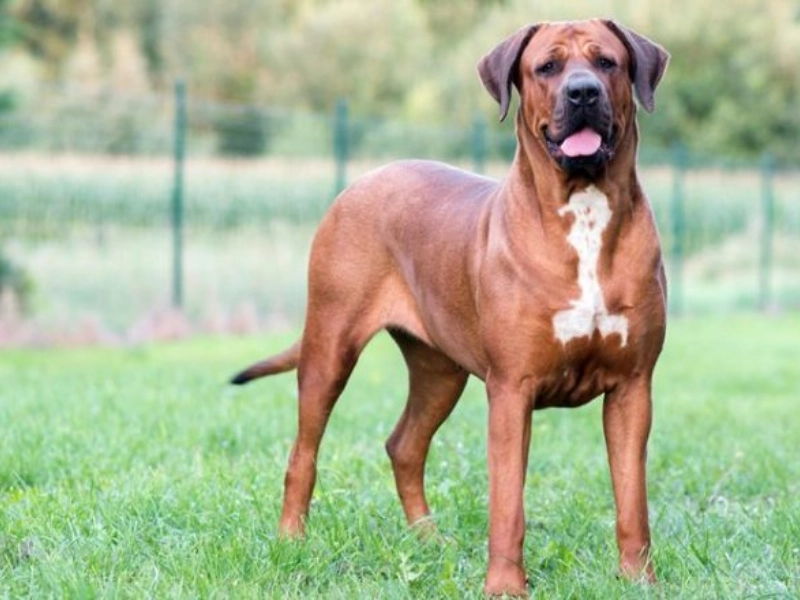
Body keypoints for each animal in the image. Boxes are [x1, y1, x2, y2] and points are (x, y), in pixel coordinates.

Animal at [232, 19, 669, 597]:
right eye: (547, 67)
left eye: (606, 63)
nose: (582, 93)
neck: (585, 212)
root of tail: (361, 182)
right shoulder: (511, 390)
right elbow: (507, 504)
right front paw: (505, 586)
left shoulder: (632, 387)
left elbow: (632, 500)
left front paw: (639, 579)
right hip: (329, 346)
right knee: (303, 452)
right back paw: (291, 541)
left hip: (440, 370)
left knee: (404, 445)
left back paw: (428, 541)